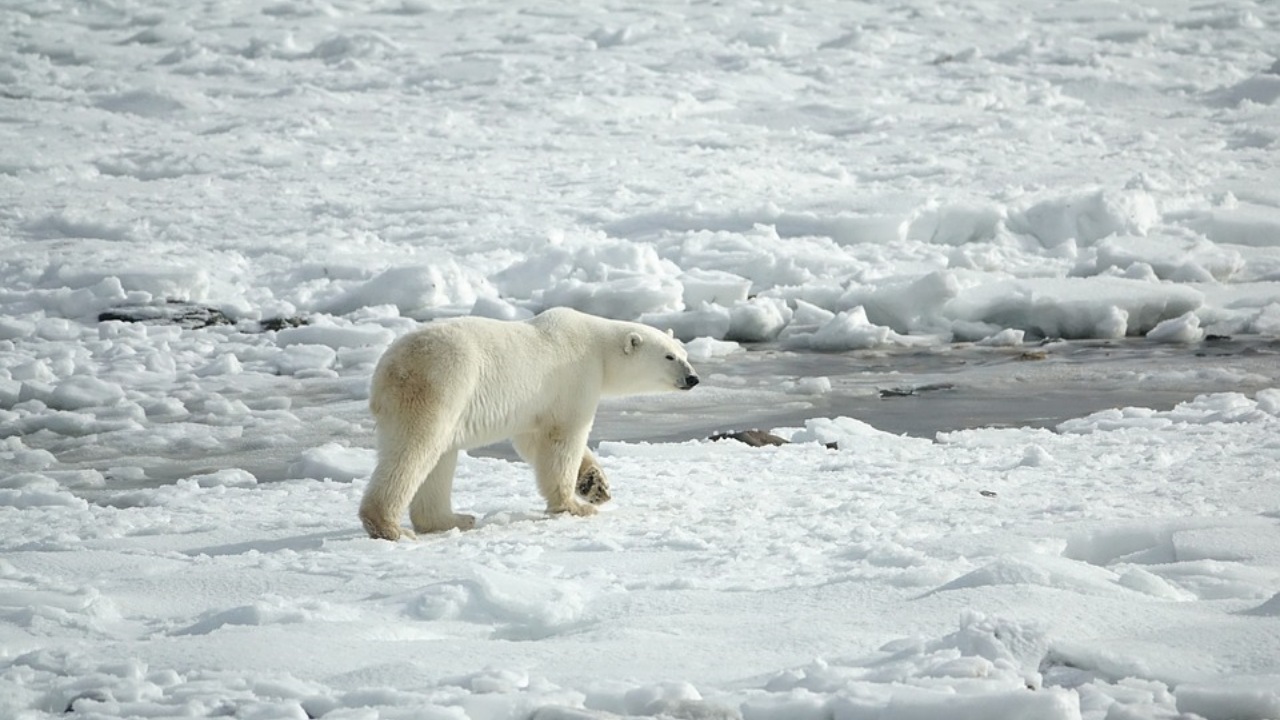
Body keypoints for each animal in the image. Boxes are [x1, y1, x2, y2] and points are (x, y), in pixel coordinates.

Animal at [358, 303, 701, 538]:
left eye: (684, 353)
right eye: (669, 356)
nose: (693, 378)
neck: (598, 348)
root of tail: (387, 370)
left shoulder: (535, 405)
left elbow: (533, 441)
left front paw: (595, 485)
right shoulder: (574, 378)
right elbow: (563, 438)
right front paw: (575, 505)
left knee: (440, 457)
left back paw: (454, 519)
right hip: (441, 384)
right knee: (415, 450)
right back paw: (389, 526)